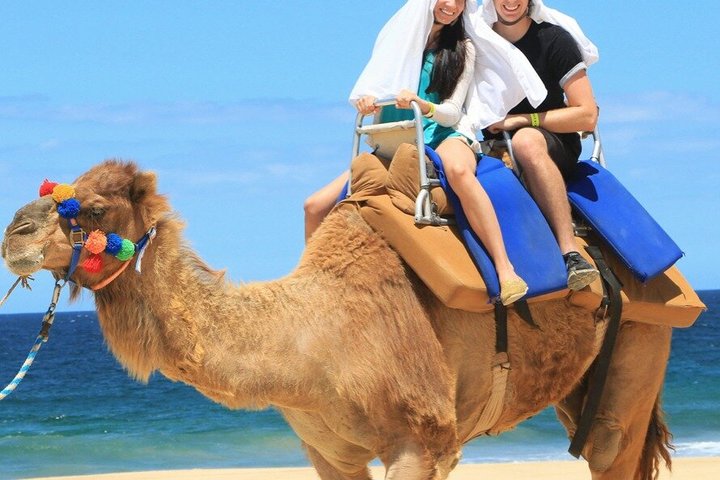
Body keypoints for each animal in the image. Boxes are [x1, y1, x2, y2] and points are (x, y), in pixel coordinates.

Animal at [1, 159, 674, 480]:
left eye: (92, 207)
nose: (14, 233)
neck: (317, 338)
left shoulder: (421, 441)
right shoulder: (329, 453)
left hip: (646, 330)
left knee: (611, 446)